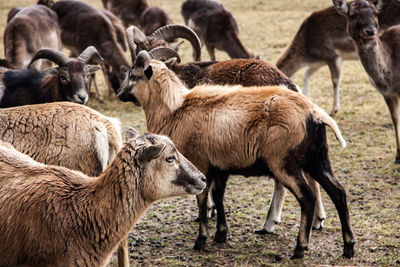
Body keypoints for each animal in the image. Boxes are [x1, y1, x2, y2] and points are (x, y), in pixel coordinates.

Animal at [116, 50, 356, 260]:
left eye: (133, 74)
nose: (119, 93)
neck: (175, 109)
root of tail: (313, 113)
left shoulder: (201, 164)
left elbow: (203, 199)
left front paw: (201, 241)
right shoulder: (220, 167)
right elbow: (219, 196)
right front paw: (221, 234)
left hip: (284, 164)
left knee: (308, 198)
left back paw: (299, 248)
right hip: (318, 159)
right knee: (338, 193)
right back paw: (348, 247)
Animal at [332, 0, 400, 163]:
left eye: (376, 13)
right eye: (352, 14)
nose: (370, 31)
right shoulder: (387, 93)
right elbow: (395, 118)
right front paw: (398, 156)